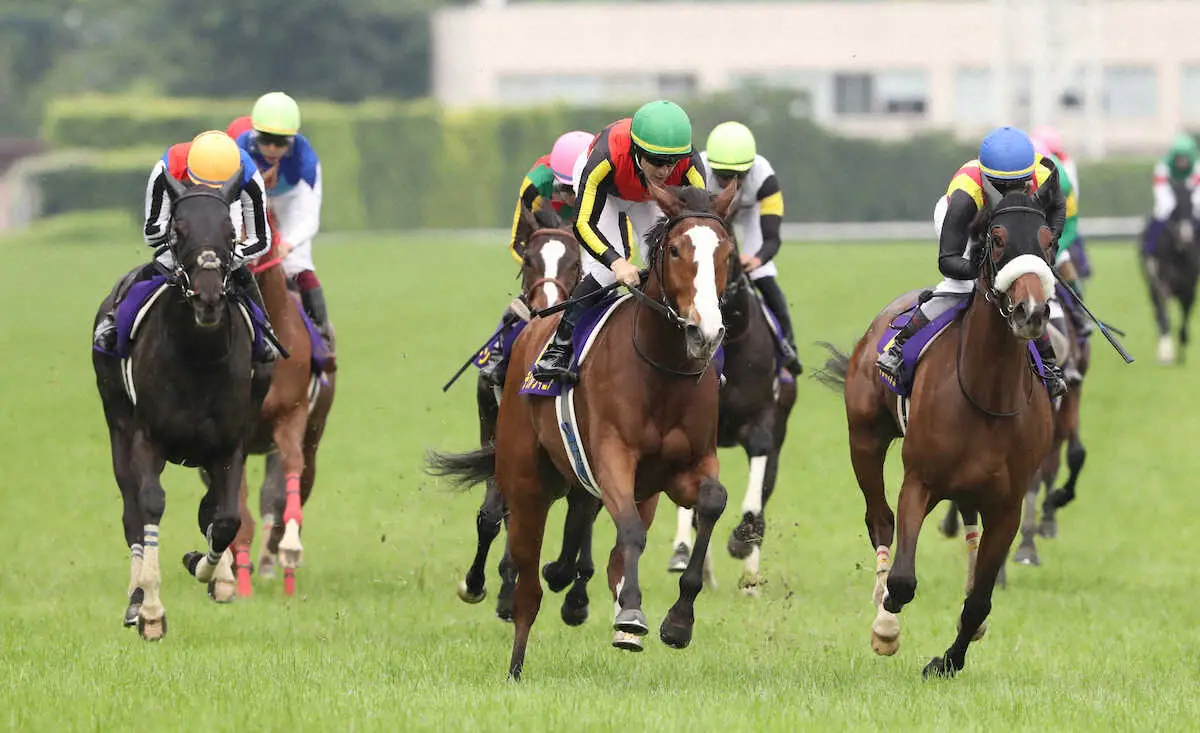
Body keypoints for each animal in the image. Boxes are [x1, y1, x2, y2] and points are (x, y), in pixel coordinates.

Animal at [91, 175, 265, 638]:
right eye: (179, 230)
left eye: (230, 232)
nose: (207, 298)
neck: (198, 357)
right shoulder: (145, 436)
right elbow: (150, 505)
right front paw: (151, 610)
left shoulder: (230, 444)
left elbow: (225, 517)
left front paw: (210, 571)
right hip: (117, 426)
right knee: (132, 512)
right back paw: (136, 603)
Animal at [453, 206, 585, 623]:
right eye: (529, 259)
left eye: (575, 263)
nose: (545, 306)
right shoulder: (496, 434)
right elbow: (492, 516)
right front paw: (480, 584)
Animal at [816, 185, 1060, 681]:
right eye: (997, 239)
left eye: (1048, 240)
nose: (1031, 311)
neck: (987, 391)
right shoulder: (919, 481)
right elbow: (903, 580)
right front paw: (887, 625)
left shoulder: (1007, 505)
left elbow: (980, 600)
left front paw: (948, 660)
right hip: (864, 439)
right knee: (880, 520)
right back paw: (881, 608)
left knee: (967, 524)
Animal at [1142, 177, 1200, 364]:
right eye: (1177, 207)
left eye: (1192, 206)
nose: (1186, 236)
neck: (1177, 251)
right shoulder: (1161, 284)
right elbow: (1164, 316)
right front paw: (1166, 353)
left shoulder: (1189, 287)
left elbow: (1186, 315)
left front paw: (1182, 345)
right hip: (1151, 285)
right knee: (1158, 313)